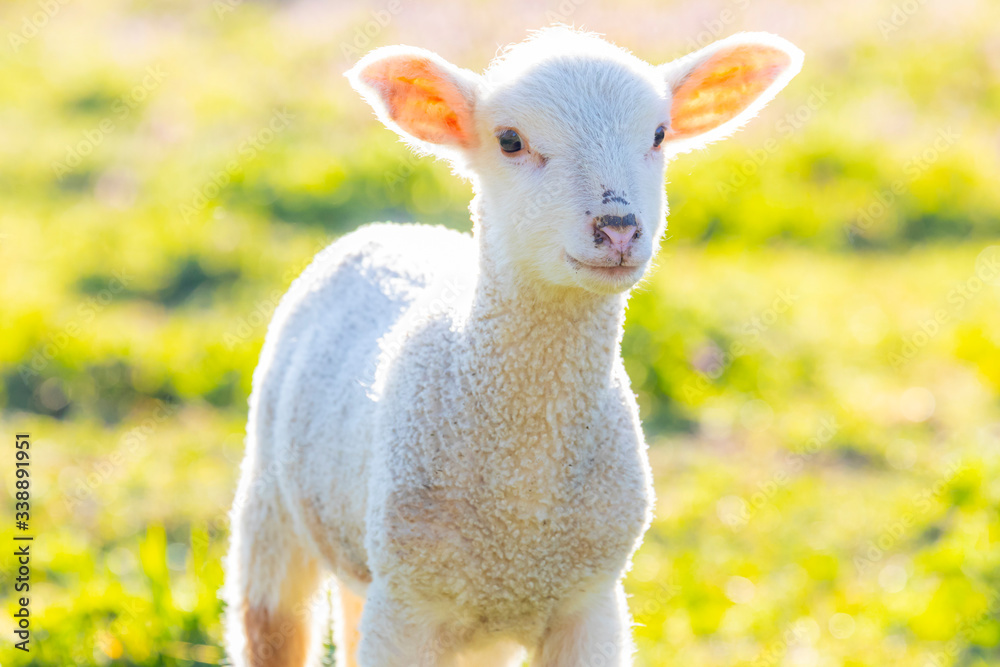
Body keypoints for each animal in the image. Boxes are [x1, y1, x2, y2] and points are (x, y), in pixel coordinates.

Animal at [223, 26, 802, 667]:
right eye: (509, 141)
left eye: (658, 134)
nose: (618, 228)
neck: (522, 502)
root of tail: (388, 230)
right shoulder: (408, 599)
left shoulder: (589, 603)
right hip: (271, 502)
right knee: (271, 621)